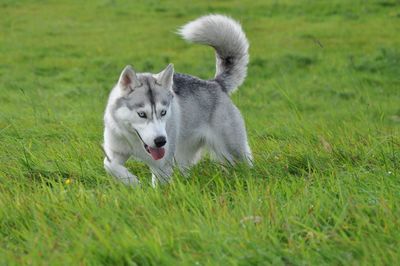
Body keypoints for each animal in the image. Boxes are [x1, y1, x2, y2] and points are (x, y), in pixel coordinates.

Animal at [104, 13, 253, 186]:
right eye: (141, 114)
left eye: (163, 112)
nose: (161, 141)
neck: (135, 141)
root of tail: (216, 83)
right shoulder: (114, 152)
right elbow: (110, 166)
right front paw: (132, 181)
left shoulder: (162, 165)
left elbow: (160, 186)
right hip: (184, 153)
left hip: (233, 147)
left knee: (245, 163)